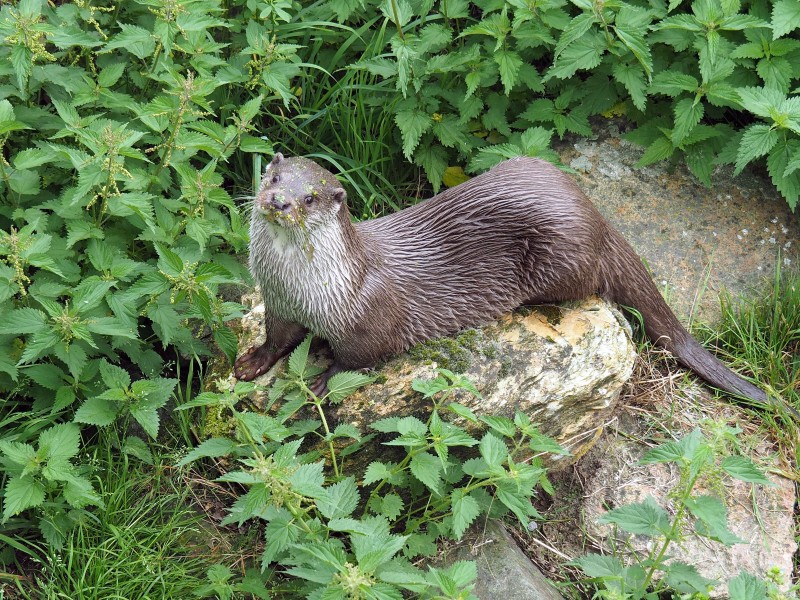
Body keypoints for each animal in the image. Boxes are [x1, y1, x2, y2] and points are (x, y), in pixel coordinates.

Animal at [236, 152, 776, 410]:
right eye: (274, 179)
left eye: (310, 197)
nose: (280, 202)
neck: (309, 289)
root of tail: (596, 215)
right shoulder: (280, 304)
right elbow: (277, 338)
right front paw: (251, 362)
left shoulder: (370, 317)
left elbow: (359, 358)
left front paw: (322, 379)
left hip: (563, 253)